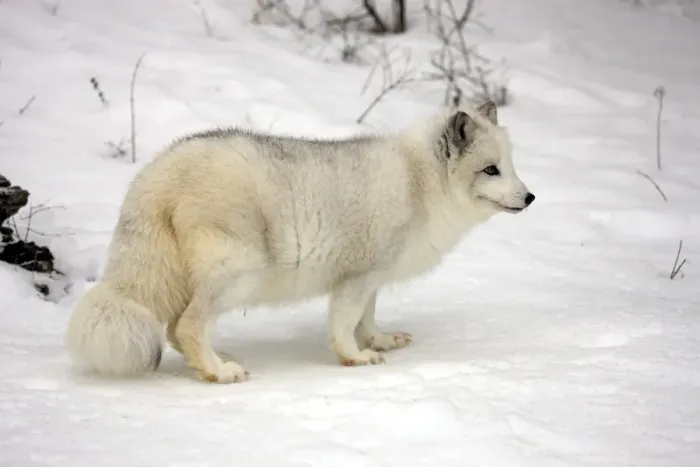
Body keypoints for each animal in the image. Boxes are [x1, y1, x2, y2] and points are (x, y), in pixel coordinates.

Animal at [65, 100, 535, 384]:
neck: (419, 182)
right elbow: (344, 325)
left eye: (510, 166)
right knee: (186, 325)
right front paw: (355, 359)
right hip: (239, 272)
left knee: (174, 330)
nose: (530, 197)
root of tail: (156, 173)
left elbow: (368, 318)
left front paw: (380, 341)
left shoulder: (372, 278)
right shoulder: (356, 277)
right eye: (490, 170)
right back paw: (221, 372)